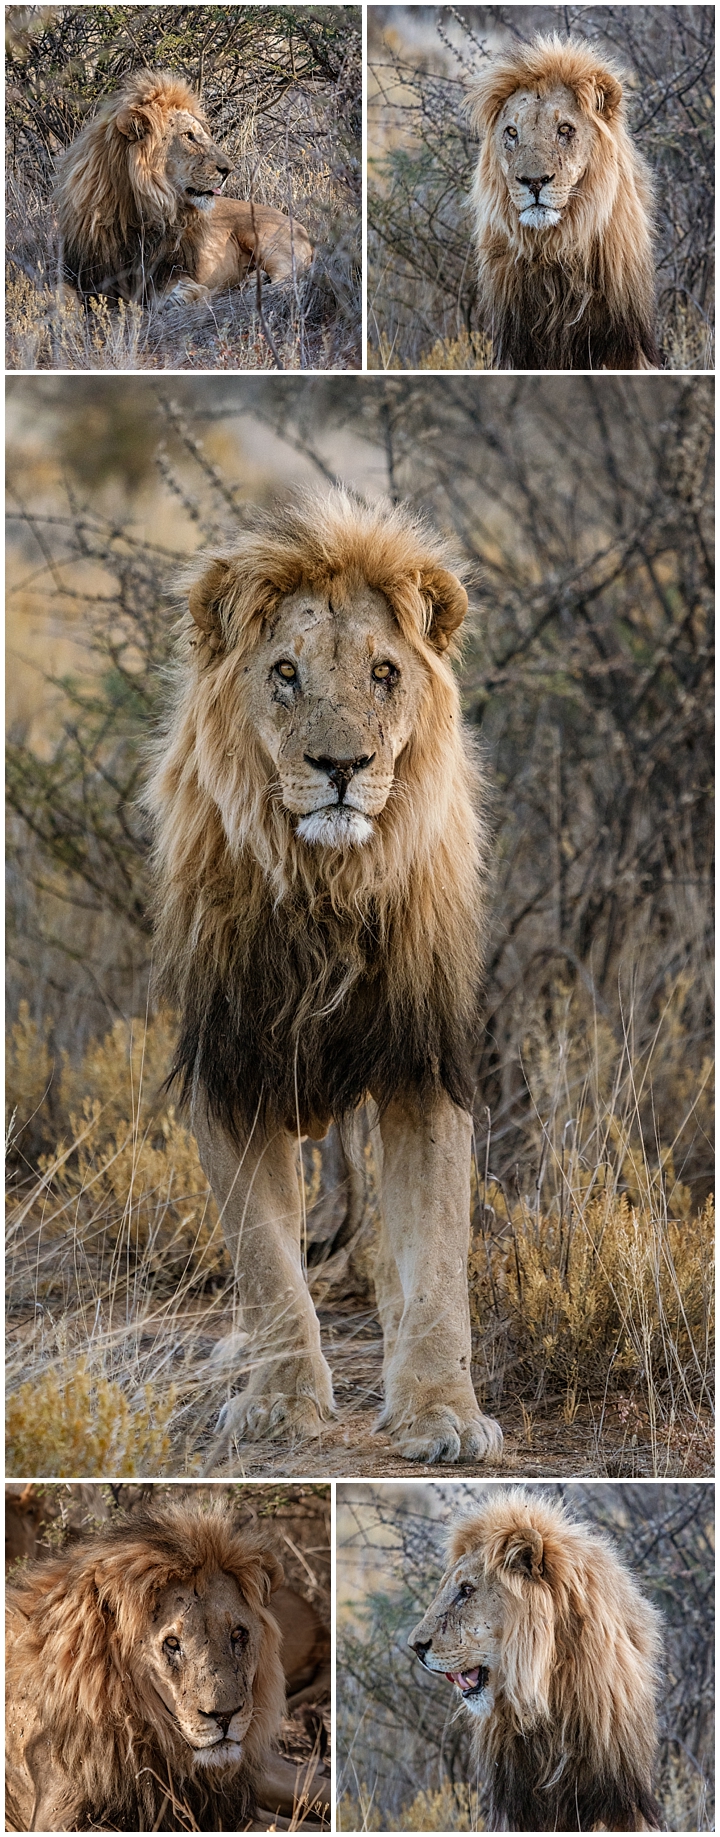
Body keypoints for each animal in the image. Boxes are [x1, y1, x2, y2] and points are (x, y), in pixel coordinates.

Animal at [54, 68, 314, 308]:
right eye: (189, 136)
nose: (229, 170)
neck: (135, 211)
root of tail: (302, 227)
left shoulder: (167, 269)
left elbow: (183, 293)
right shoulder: (83, 271)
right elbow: (59, 296)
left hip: (270, 241)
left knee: (287, 280)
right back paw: (249, 281)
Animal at [147, 484, 499, 1462]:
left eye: (383, 673)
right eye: (286, 673)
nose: (341, 766)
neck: (327, 890)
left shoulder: (424, 1064)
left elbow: (440, 1259)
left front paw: (440, 1411)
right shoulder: (231, 1067)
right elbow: (266, 1261)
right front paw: (280, 1399)